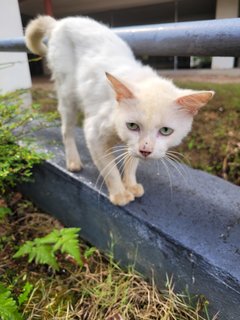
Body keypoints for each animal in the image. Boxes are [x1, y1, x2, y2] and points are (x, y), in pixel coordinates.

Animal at [25, 15, 214, 206]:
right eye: (132, 126)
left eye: (166, 130)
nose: (146, 150)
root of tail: (60, 22)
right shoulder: (94, 133)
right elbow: (110, 169)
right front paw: (119, 193)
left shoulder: (131, 146)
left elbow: (131, 161)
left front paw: (130, 184)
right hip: (68, 94)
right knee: (66, 130)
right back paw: (73, 161)